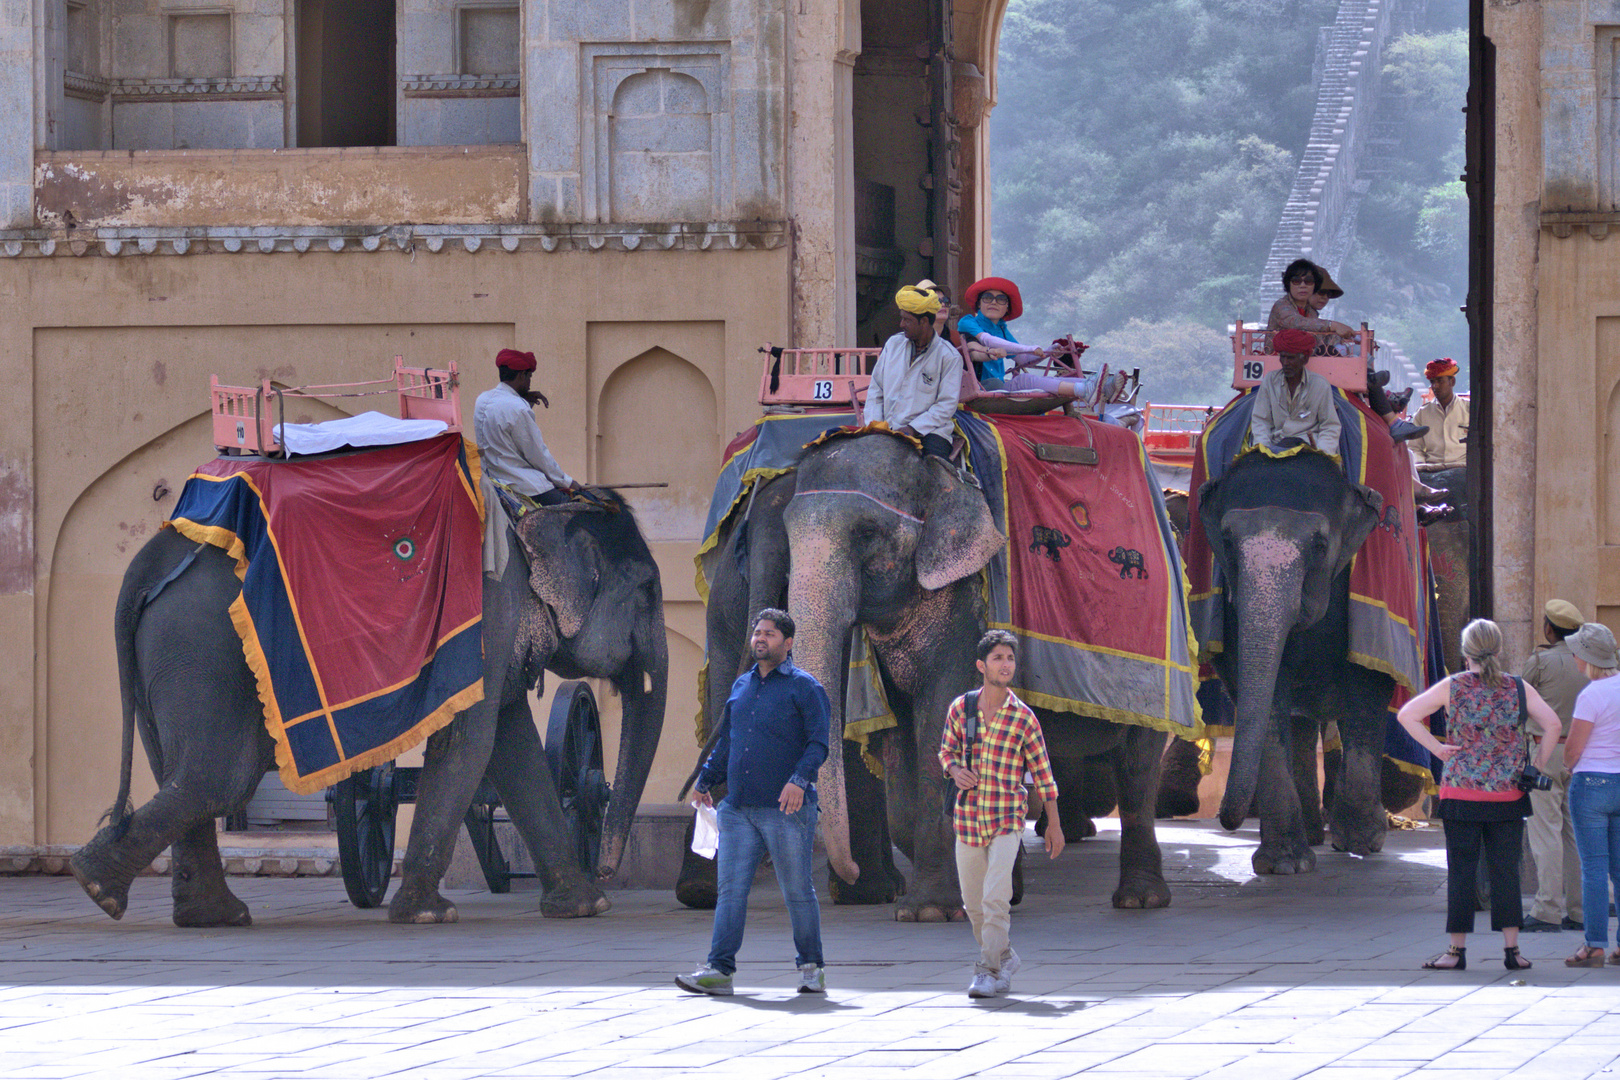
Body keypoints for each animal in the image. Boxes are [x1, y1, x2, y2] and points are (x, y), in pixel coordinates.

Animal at [72, 498, 667, 932]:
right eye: (647, 591)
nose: (608, 865)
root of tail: (147, 564)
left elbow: (511, 745)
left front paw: (585, 907)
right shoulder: (490, 605)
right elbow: (470, 742)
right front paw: (429, 915)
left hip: (165, 649)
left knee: (177, 773)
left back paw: (202, 914)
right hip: (202, 647)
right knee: (219, 778)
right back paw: (98, 886)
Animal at [780, 430, 1166, 919]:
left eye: (866, 532)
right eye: (788, 533)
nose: (846, 875)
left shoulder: (968, 607)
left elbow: (937, 728)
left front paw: (930, 911)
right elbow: (903, 759)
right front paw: (977, 892)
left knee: (1138, 766)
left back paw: (1139, 899)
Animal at [1192, 450, 1393, 880]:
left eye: (1320, 544)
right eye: (1227, 542)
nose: (1224, 820)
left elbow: (1368, 682)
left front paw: (1364, 843)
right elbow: (1265, 695)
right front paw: (1284, 864)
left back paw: (1347, 838)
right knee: (1301, 723)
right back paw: (1315, 836)